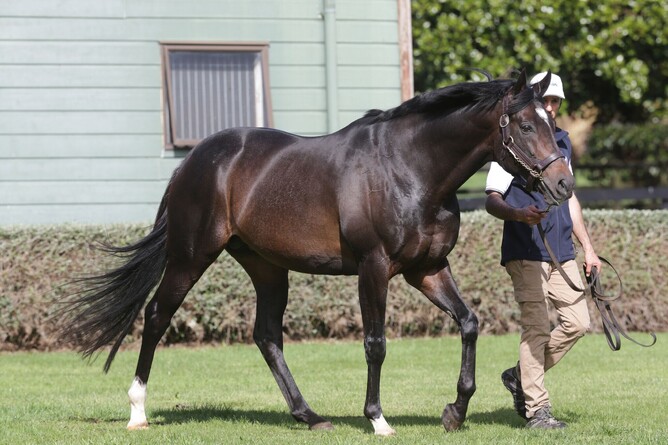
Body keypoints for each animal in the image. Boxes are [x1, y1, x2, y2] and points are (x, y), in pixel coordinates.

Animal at [56, 69, 574, 435]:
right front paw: (378, 419)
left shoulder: (426, 268)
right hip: (190, 256)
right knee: (157, 316)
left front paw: (455, 410)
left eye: (552, 121)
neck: (410, 168)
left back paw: (308, 415)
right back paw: (137, 411)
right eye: (526, 124)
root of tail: (194, 161)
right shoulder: (374, 268)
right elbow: (375, 343)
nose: (563, 184)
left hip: (266, 267)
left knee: (267, 336)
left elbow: (468, 324)